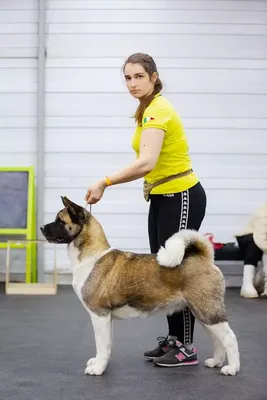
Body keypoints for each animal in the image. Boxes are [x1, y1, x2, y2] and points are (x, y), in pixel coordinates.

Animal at [40, 195, 242, 376]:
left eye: (59, 221)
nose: (42, 228)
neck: (92, 256)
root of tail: (205, 258)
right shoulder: (107, 318)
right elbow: (107, 344)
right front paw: (100, 363)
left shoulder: (100, 315)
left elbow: (101, 345)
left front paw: (98, 368)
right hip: (202, 313)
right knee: (218, 340)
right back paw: (215, 362)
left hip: (208, 311)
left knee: (229, 338)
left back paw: (232, 368)